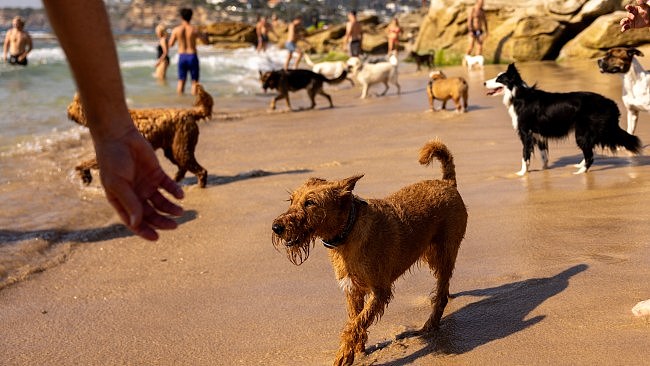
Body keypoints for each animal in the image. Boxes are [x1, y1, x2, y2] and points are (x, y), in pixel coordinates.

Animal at [67, 84, 213, 187]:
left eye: (75, 102)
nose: (67, 111)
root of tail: (190, 113)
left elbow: (84, 163)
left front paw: (83, 174)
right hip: (172, 150)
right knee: (184, 168)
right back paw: (175, 180)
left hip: (181, 149)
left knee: (201, 171)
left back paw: (199, 185)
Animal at [270, 139, 466, 364]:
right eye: (291, 200)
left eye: (310, 202)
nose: (276, 227)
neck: (347, 232)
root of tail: (448, 183)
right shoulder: (353, 289)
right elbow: (356, 319)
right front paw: (358, 348)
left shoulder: (379, 290)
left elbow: (355, 324)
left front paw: (344, 355)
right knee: (444, 286)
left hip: (444, 252)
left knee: (441, 292)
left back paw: (430, 324)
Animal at [480, 63, 636, 176]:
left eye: (499, 79)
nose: (484, 83)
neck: (518, 95)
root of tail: (611, 104)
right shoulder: (538, 134)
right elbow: (544, 156)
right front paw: (544, 170)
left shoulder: (525, 133)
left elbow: (525, 155)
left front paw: (521, 173)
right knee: (589, 150)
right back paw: (580, 165)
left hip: (582, 133)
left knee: (590, 155)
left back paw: (580, 172)